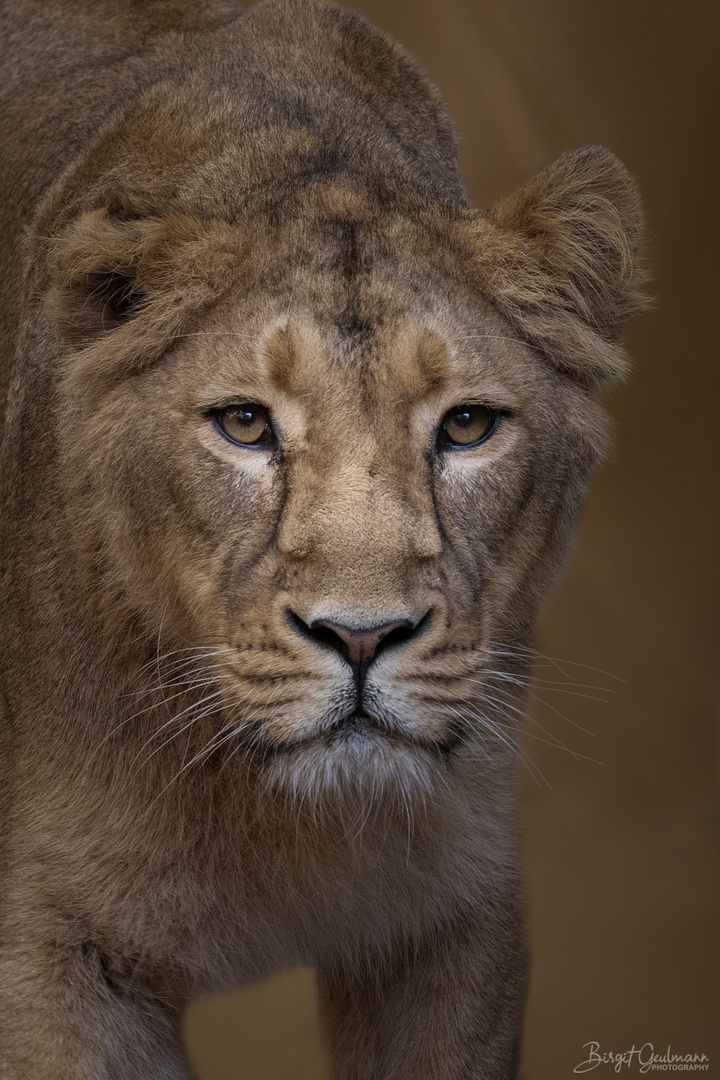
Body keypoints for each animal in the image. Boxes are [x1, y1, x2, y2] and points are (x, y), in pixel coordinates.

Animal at [0, 0, 647, 1075]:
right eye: (244, 425)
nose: (361, 637)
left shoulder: (456, 916)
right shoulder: (47, 953)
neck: (269, 813)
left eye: (467, 426)